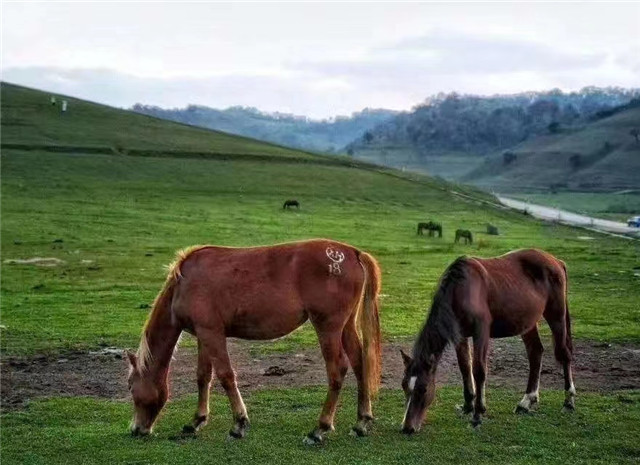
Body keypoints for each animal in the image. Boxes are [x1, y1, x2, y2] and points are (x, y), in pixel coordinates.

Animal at [127, 239, 382, 442]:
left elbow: (226, 376)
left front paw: (238, 424)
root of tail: (352, 253)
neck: (184, 284)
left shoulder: (212, 333)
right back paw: (361, 422)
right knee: (360, 364)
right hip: (346, 327)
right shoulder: (204, 335)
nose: (136, 429)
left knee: (337, 370)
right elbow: (203, 376)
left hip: (328, 328)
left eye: (130, 385)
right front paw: (197, 420)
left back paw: (320, 428)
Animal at [400, 248, 576, 434]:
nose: (407, 427)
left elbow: (479, 370)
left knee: (564, 354)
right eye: (404, 385)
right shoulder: (460, 335)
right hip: (527, 323)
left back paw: (568, 401)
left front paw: (477, 416)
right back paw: (526, 402)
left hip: (556, 316)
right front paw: (468, 406)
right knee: (535, 352)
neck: (461, 289)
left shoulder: (481, 333)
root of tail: (556, 261)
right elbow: (465, 367)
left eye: (423, 388)